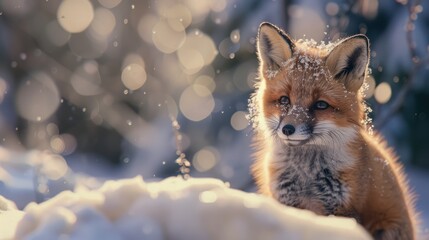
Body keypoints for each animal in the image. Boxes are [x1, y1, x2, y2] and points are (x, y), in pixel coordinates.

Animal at [249, 21, 416, 239]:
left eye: (321, 105)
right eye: (284, 100)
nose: (288, 129)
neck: (306, 175)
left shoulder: (343, 208)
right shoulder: (287, 202)